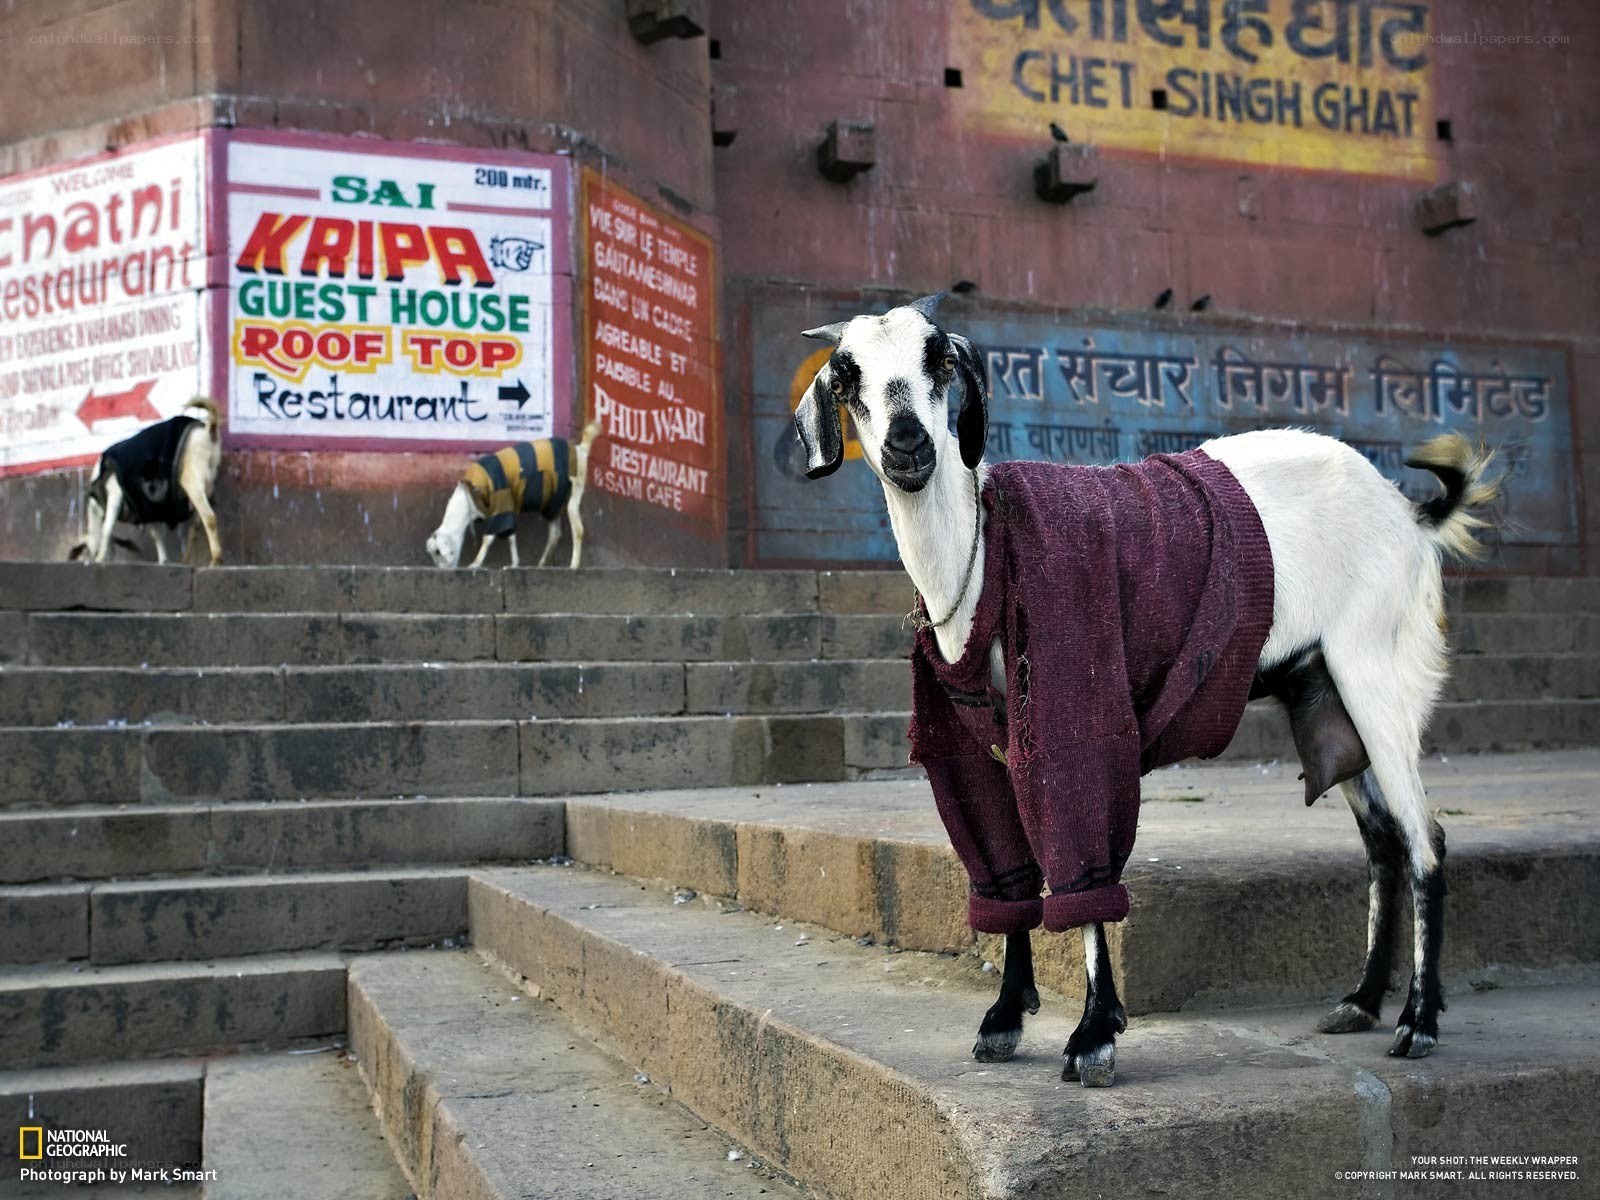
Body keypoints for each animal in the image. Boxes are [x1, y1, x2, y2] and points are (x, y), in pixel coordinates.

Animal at [69, 398, 224, 566]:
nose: (89, 560)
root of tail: (208, 430)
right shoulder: (148, 507)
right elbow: (157, 534)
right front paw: (163, 560)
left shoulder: (115, 492)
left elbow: (107, 529)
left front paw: (100, 558)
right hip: (208, 480)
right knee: (196, 525)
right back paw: (187, 559)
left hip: (193, 479)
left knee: (209, 517)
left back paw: (215, 560)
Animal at [426, 423, 600, 569]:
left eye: (439, 554)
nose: (444, 571)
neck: (468, 498)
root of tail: (581, 449)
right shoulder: (507, 509)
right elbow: (511, 536)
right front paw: (514, 564)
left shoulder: (502, 504)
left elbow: (489, 537)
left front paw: (475, 564)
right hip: (554, 502)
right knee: (555, 533)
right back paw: (542, 564)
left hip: (575, 491)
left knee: (578, 529)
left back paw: (573, 565)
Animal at [793, 294, 1499, 1086]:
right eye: (848, 375)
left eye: (939, 358)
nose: (909, 445)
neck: (981, 555)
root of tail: (1410, 515)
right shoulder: (976, 751)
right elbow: (1007, 873)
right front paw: (1005, 1018)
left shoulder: (1079, 717)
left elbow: (1084, 866)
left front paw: (1093, 1035)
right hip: (1326, 698)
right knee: (1383, 841)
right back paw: (1362, 1002)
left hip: (1377, 674)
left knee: (1425, 839)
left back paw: (1418, 1021)